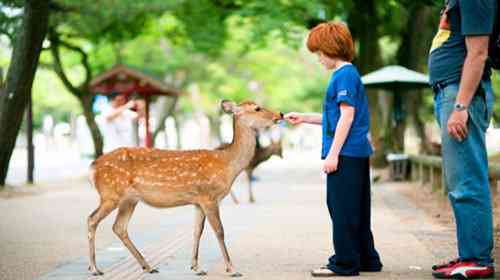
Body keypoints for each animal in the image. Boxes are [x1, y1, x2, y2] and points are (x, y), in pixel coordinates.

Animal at [88, 99, 284, 276]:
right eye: (257, 108)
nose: (280, 114)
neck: (227, 165)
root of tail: (93, 166)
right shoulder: (209, 196)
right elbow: (219, 231)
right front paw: (232, 269)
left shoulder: (198, 201)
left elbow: (197, 231)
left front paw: (196, 267)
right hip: (110, 193)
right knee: (92, 219)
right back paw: (95, 269)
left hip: (129, 199)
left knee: (119, 227)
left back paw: (148, 267)